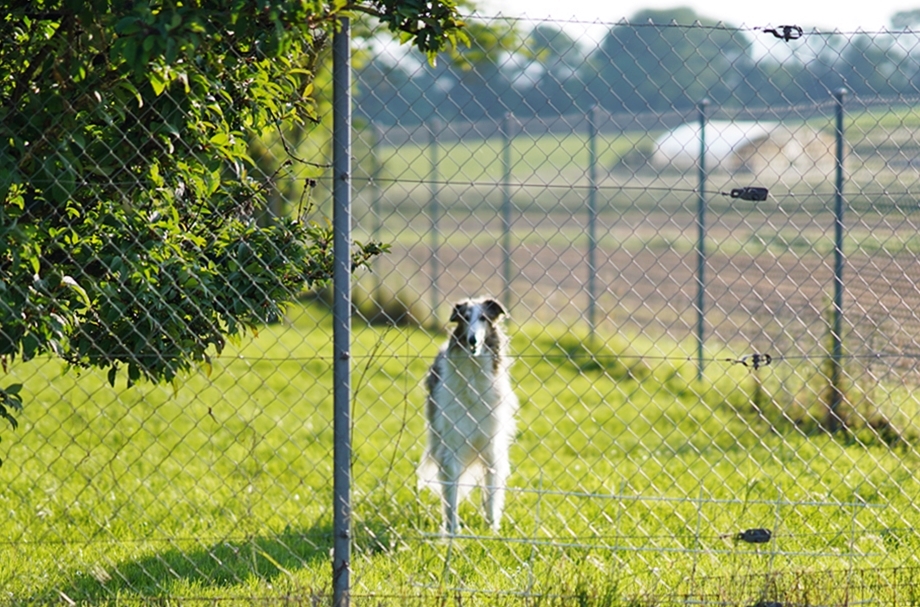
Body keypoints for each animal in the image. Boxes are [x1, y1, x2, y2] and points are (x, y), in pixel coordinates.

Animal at [418, 297, 519, 534]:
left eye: (483, 318)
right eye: (464, 318)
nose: (473, 340)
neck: (473, 376)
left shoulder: (491, 448)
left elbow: (492, 495)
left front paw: (492, 529)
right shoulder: (452, 447)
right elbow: (451, 496)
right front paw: (453, 531)